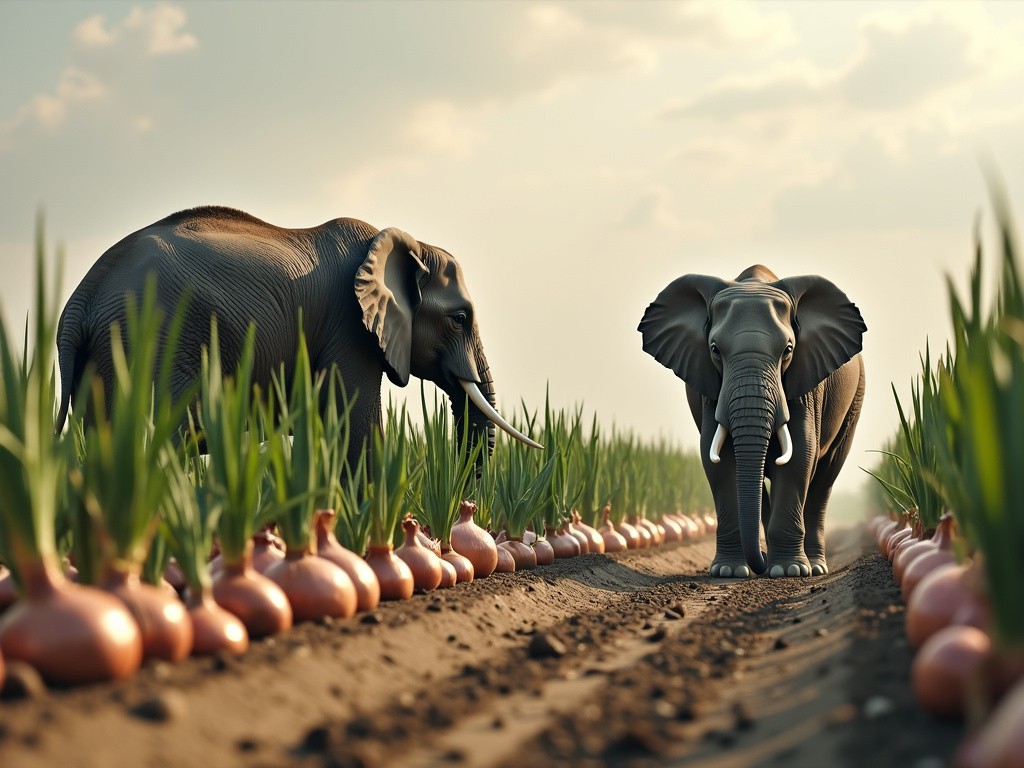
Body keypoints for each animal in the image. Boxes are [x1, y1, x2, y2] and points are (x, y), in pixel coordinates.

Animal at [638, 268, 864, 581]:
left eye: (788, 350)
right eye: (715, 350)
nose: (763, 562)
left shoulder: (806, 383)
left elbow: (800, 455)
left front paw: (789, 571)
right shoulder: (712, 387)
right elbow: (719, 460)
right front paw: (728, 572)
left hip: (855, 401)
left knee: (825, 477)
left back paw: (814, 566)